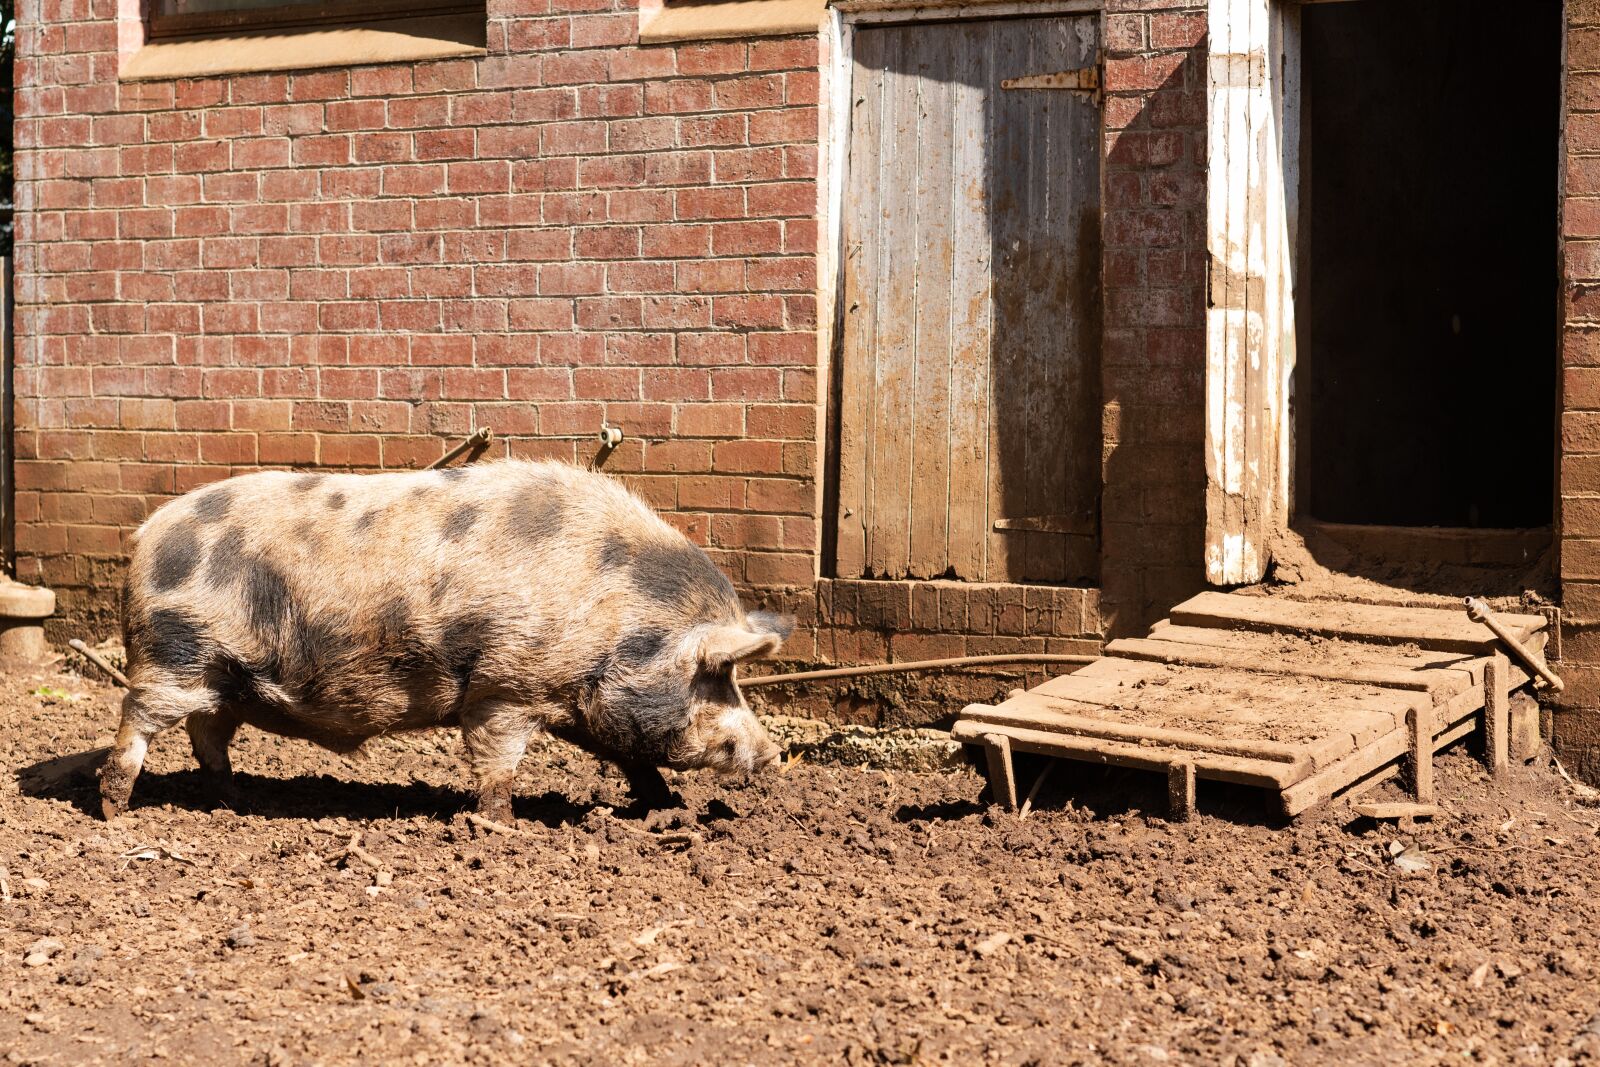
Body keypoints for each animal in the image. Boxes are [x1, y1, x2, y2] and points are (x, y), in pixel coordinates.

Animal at [98, 459, 792, 823]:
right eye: (717, 677)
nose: (775, 754)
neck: (613, 615)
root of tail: (147, 535)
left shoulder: (577, 701)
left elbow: (631, 758)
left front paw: (665, 808)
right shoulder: (503, 687)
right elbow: (496, 763)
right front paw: (502, 826)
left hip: (222, 678)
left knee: (207, 736)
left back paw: (237, 799)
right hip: (173, 655)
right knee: (137, 721)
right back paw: (116, 812)